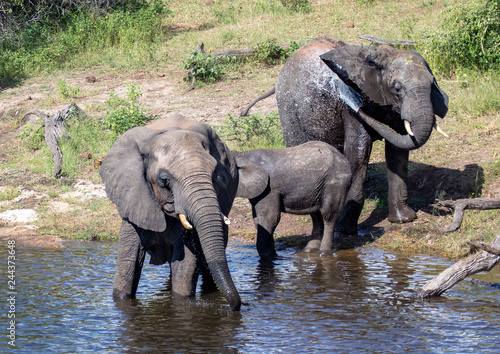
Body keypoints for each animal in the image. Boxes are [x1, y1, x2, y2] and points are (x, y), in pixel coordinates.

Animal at [99, 114, 240, 310]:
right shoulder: (135, 200)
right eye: (164, 180)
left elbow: (186, 263)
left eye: (217, 177)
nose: (236, 307)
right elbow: (129, 262)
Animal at [240, 36, 448, 235]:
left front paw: (403, 220)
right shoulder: (349, 107)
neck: (381, 56)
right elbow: (358, 155)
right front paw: (346, 230)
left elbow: (398, 153)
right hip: (287, 105)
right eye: (397, 89)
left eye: (432, 85)